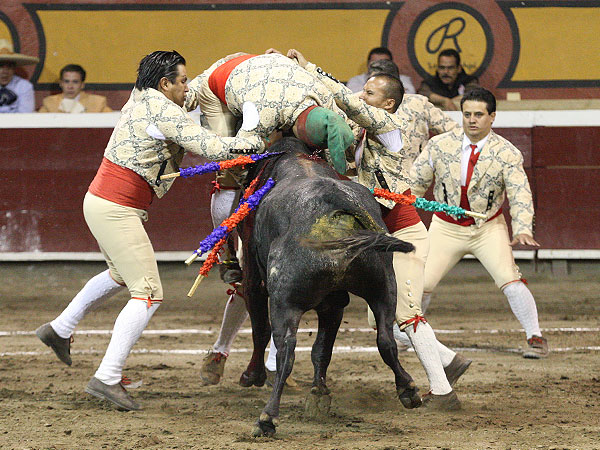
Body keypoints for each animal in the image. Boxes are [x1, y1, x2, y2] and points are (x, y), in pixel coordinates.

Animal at [237, 138, 420, 436]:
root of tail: (333, 200)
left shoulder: (254, 279)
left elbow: (260, 328)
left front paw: (253, 376)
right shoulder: (335, 303)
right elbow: (322, 349)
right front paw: (319, 393)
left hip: (284, 302)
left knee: (286, 350)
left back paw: (267, 418)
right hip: (383, 284)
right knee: (385, 338)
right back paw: (408, 389)